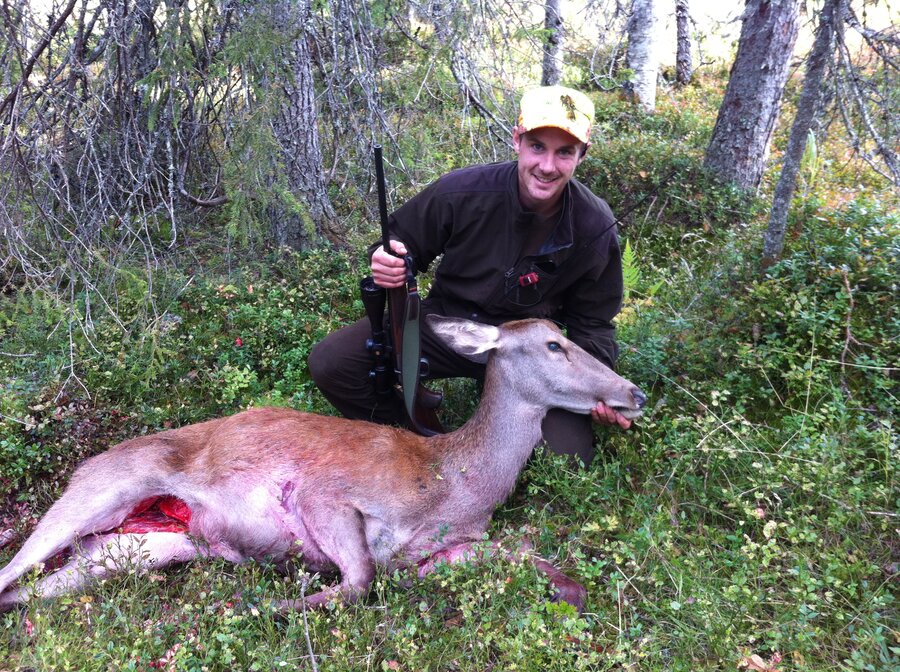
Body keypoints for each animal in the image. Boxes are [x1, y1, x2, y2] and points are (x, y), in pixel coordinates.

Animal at [0, 318, 648, 612]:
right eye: (554, 344)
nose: (634, 392)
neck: (458, 484)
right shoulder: (323, 492)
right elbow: (360, 579)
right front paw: (269, 605)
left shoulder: (451, 549)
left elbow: (558, 574)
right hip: (104, 486)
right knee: (13, 568)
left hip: (141, 546)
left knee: (33, 587)